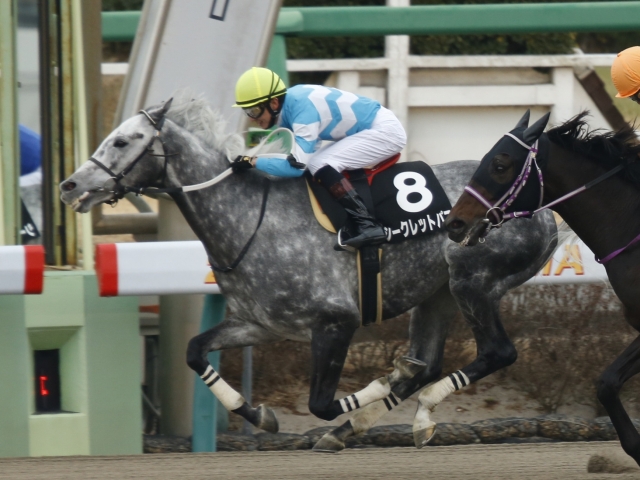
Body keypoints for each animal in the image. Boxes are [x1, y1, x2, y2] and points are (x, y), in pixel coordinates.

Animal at [57, 95, 556, 452]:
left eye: (124, 141)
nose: (69, 185)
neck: (251, 218)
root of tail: (544, 208)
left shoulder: (336, 322)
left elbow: (320, 403)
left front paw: (369, 391)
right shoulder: (258, 323)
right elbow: (195, 351)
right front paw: (258, 414)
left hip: (473, 281)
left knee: (497, 352)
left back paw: (404, 410)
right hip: (438, 293)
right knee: (427, 363)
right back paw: (392, 419)